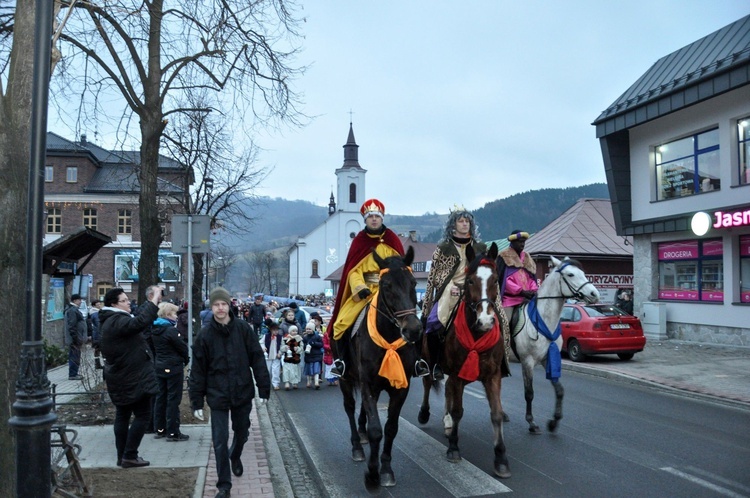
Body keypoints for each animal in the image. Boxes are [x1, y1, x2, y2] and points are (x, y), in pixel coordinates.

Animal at [340, 247, 424, 488]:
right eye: (386, 285)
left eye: (413, 283)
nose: (413, 330)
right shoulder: (367, 383)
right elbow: (376, 430)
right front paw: (372, 474)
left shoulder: (400, 388)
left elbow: (391, 428)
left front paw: (386, 469)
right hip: (345, 378)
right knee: (349, 407)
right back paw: (357, 446)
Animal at [418, 241, 512, 478]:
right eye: (470, 281)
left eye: (495, 280)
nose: (486, 320)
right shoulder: (458, 374)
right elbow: (458, 411)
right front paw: (453, 448)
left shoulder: (492, 376)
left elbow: (496, 414)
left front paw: (501, 458)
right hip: (430, 362)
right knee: (428, 383)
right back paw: (426, 414)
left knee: (448, 393)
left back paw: (447, 424)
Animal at [512, 255, 600, 434]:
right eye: (571, 274)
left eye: (583, 273)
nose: (594, 294)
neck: (542, 319)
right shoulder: (527, 361)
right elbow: (529, 393)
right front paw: (531, 422)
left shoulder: (548, 359)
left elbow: (559, 390)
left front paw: (554, 421)